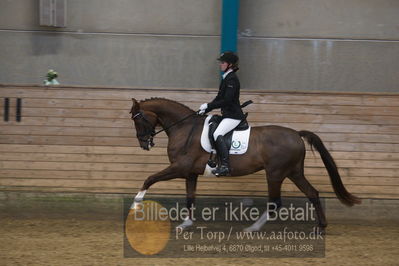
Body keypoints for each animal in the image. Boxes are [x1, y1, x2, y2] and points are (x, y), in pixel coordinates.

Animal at [130, 97, 360, 231]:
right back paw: (321, 227)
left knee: (275, 202)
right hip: (294, 172)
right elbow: (190, 198)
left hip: (275, 174)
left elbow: (149, 179)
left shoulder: (179, 168)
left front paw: (135, 205)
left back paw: (252, 228)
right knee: (312, 193)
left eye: (138, 118)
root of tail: (296, 134)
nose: (143, 143)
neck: (184, 128)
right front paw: (186, 223)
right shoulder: (190, 173)